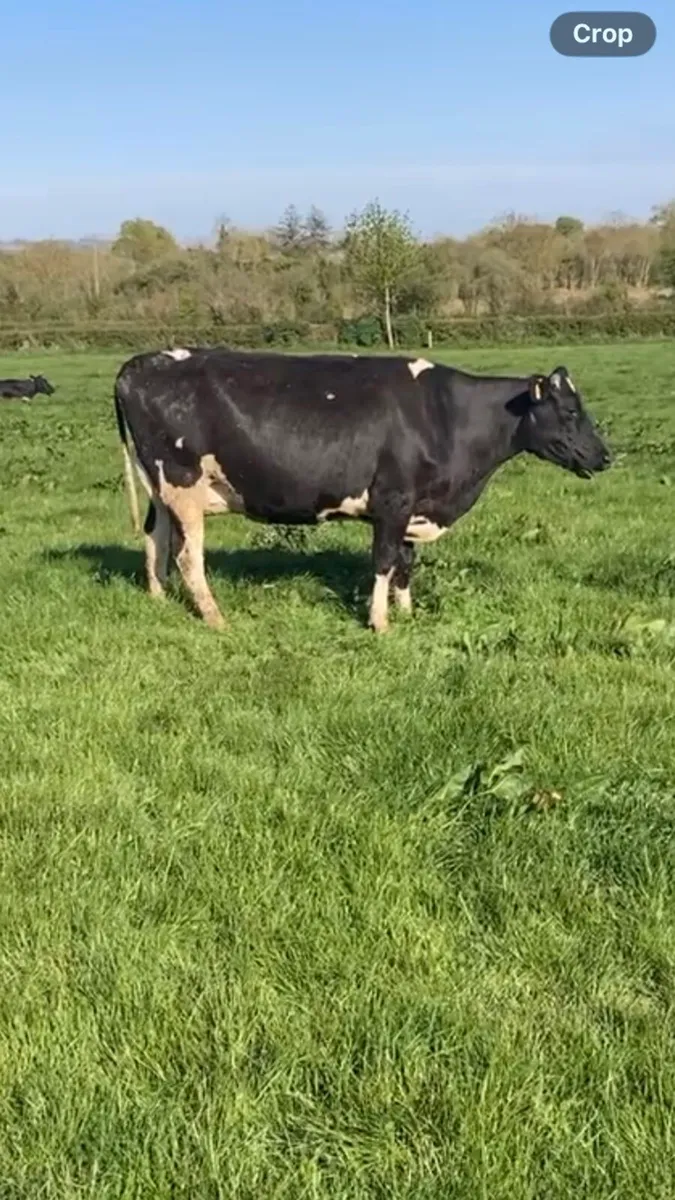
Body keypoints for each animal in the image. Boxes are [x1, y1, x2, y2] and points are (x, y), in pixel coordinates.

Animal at [113, 347, 611, 632]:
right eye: (569, 411)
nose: (605, 457)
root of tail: (140, 363)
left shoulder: (415, 507)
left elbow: (406, 565)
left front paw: (406, 614)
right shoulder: (393, 501)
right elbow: (385, 561)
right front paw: (380, 623)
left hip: (160, 488)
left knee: (154, 539)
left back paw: (158, 599)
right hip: (181, 484)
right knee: (186, 555)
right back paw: (215, 618)